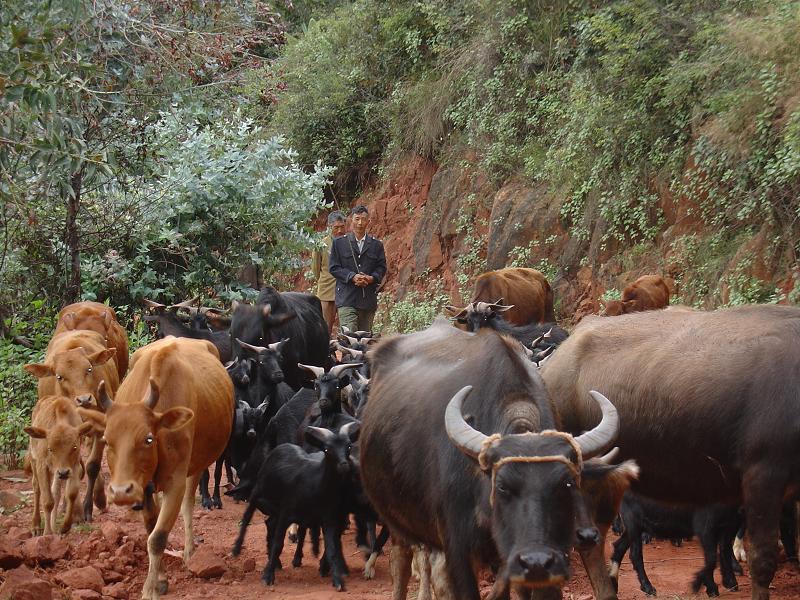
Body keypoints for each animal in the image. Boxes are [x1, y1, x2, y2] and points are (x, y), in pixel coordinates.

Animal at [24, 396, 94, 536]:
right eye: (50, 449)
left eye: (74, 447)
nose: (63, 473)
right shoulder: (42, 466)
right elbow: (47, 501)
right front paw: (47, 533)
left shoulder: (74, 466)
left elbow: (71, 493)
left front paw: (65, 527)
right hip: (34, 461)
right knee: (36, 488)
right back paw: (36, 525)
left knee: (55, 492)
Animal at [80, 338, 231, 600]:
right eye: (107, 440)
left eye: (148, 439)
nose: (121, 492)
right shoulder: (144, 487)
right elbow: (152, 527)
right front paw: (160, 578)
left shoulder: (176, 481)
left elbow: (158, 537)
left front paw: (150, 588)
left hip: (197, 464)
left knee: (188, 504)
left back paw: (190, 552)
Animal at [358, 318, 636, 600]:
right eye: (502, 486)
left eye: (567, 484)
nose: (588, 536)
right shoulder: (458, 549)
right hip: (397, 520)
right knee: (401, 563)